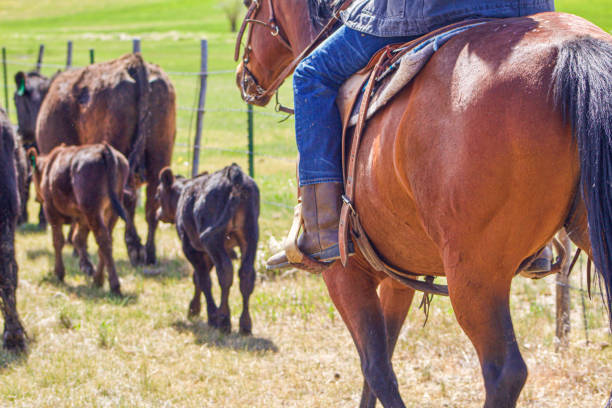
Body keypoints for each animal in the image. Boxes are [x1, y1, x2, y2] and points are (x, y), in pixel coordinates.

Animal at [157, 163, 260, 334]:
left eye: (157, 195)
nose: (158, 214)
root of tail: (233, 173)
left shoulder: (191, 248)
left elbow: (203, 279)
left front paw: (209, 314)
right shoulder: (207, 253)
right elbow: (198, 278)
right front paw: (195, 308)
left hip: (213, 240)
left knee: (225, 272)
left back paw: (223, 319)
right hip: (250, 235)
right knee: (246, 274)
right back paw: (245, 324)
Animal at [235, 1, 612, 406]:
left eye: (251, 8)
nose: (243, 76)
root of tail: (571, 50)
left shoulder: (344, 274)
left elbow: (376, 368)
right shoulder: (400, 275)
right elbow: (379, 363)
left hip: (474, 277)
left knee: (504, 372)